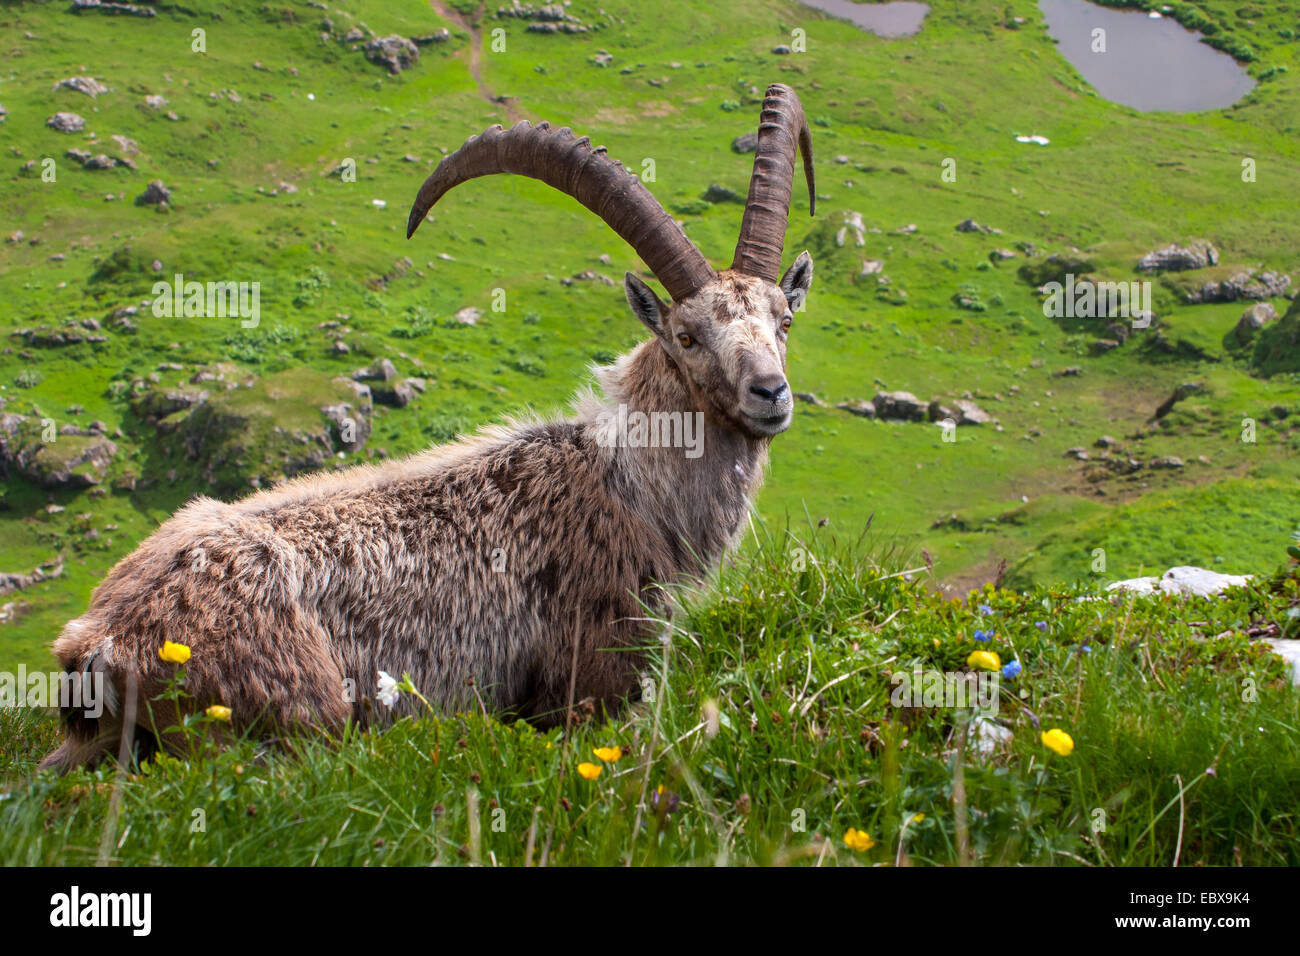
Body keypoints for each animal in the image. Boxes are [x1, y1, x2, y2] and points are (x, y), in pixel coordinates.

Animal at [39, 83, 816, 772]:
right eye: (686, 335)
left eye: (783, 319)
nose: (770, 393)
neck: (629, 487)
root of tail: (95, 644)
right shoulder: (596, 672)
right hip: (297, 716)